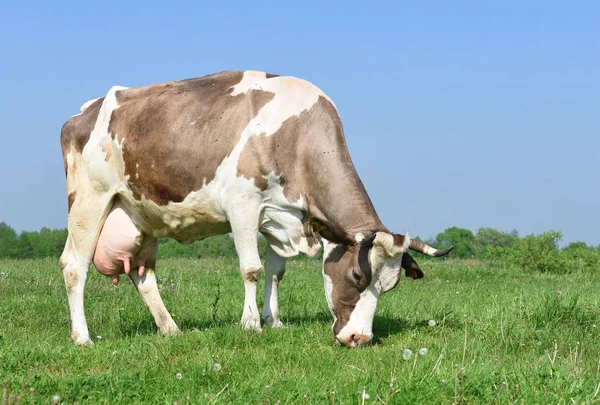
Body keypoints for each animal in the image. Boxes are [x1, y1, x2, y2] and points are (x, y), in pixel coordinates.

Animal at [59, 70, 450, 348]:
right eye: (357, 276)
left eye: (390, 286)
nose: (360, 339)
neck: (296, 135)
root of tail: (84, 112)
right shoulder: (242, 206)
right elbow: (252, 269)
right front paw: (250, 325)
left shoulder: (279, 217)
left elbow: (276, 271)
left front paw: (273, 321)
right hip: (90, 200)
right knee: (74, 266)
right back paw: (82, 337)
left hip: (141, 215)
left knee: (143, 275)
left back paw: (171, 329)